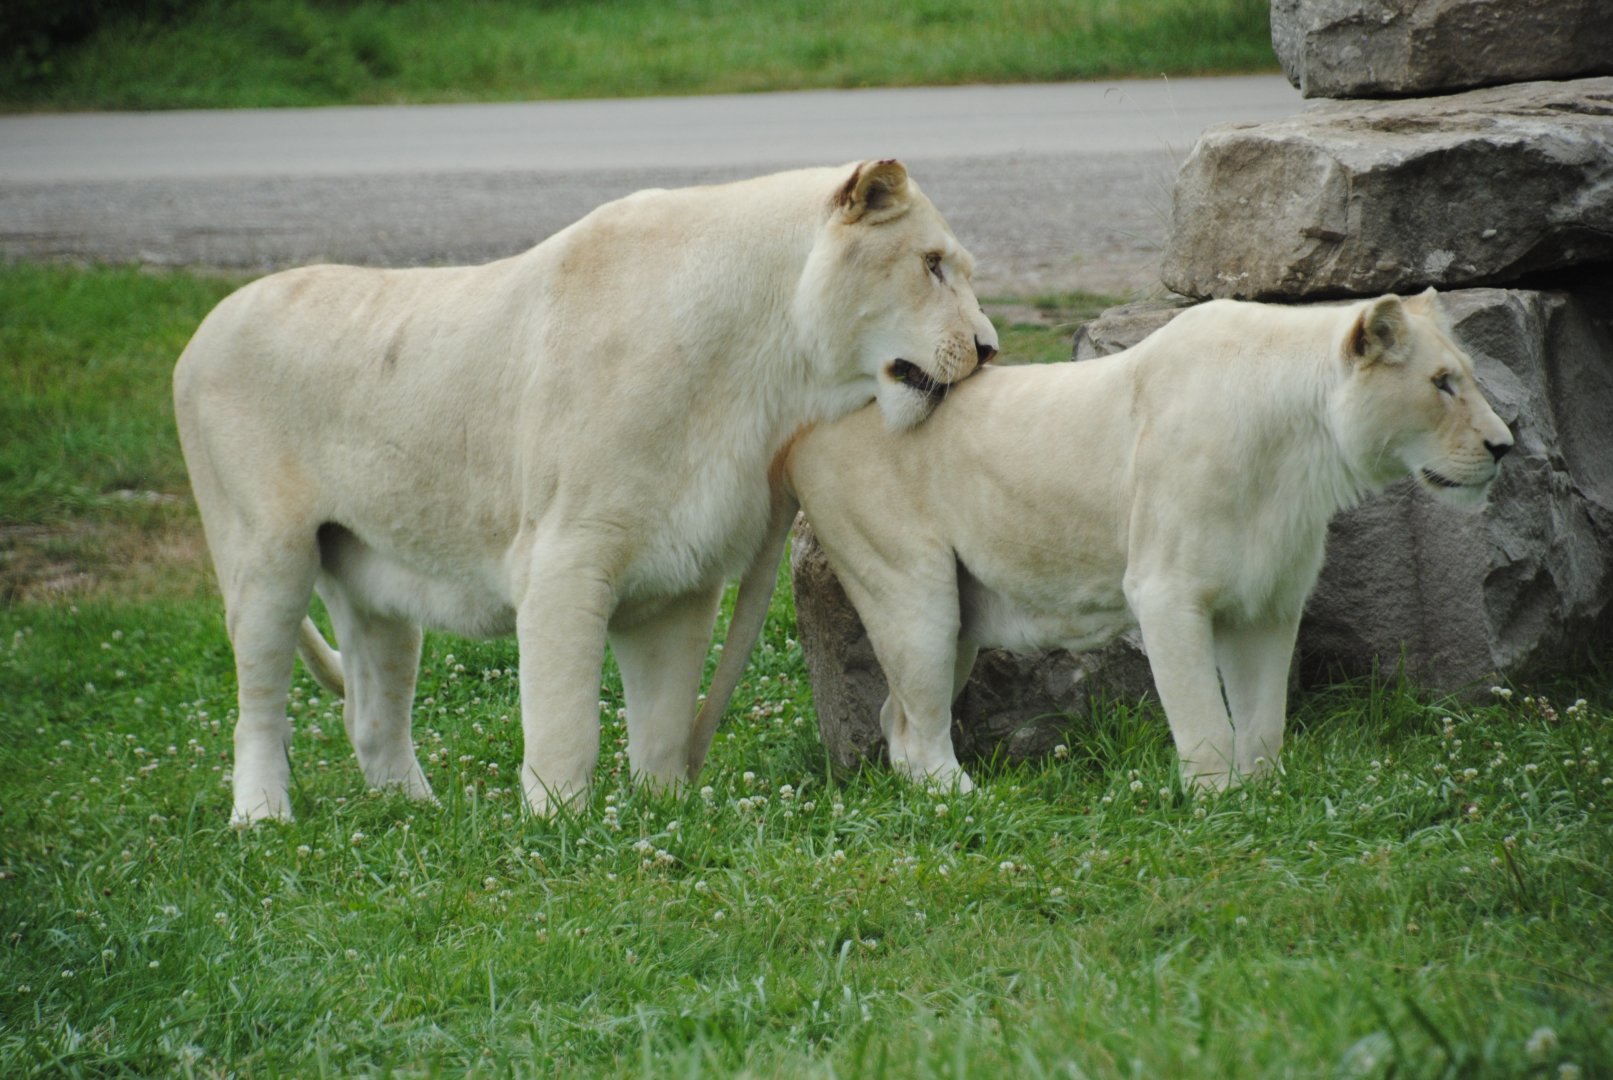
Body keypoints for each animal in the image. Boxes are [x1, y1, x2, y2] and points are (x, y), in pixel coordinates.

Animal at [173, 160, 999, 823]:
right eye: (931, 264)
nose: (989, 348)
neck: (761, 375)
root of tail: (205, 326)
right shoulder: (562, 557)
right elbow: (566, 720)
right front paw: (557, 826)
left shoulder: (679, 580)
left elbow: (662, 718)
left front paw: (664, 810)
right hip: (265, 556)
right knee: (257, 710)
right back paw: (262, 819)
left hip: (372, 581)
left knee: (372, 720)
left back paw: (419, 813)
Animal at [694, 290, 1512, 792]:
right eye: (1442, 383)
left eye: (1467, 376)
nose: (1505, 446)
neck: (1304, 449)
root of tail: (809, 416)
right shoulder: (1167, 591)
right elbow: (1204, 721)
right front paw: (1220, 805)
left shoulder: (1268, 604)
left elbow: (1263, 720)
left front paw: (1266, 794)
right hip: (912, 592)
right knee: (918, 730)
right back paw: (971, 803)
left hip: (957, 616)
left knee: (898, 720)